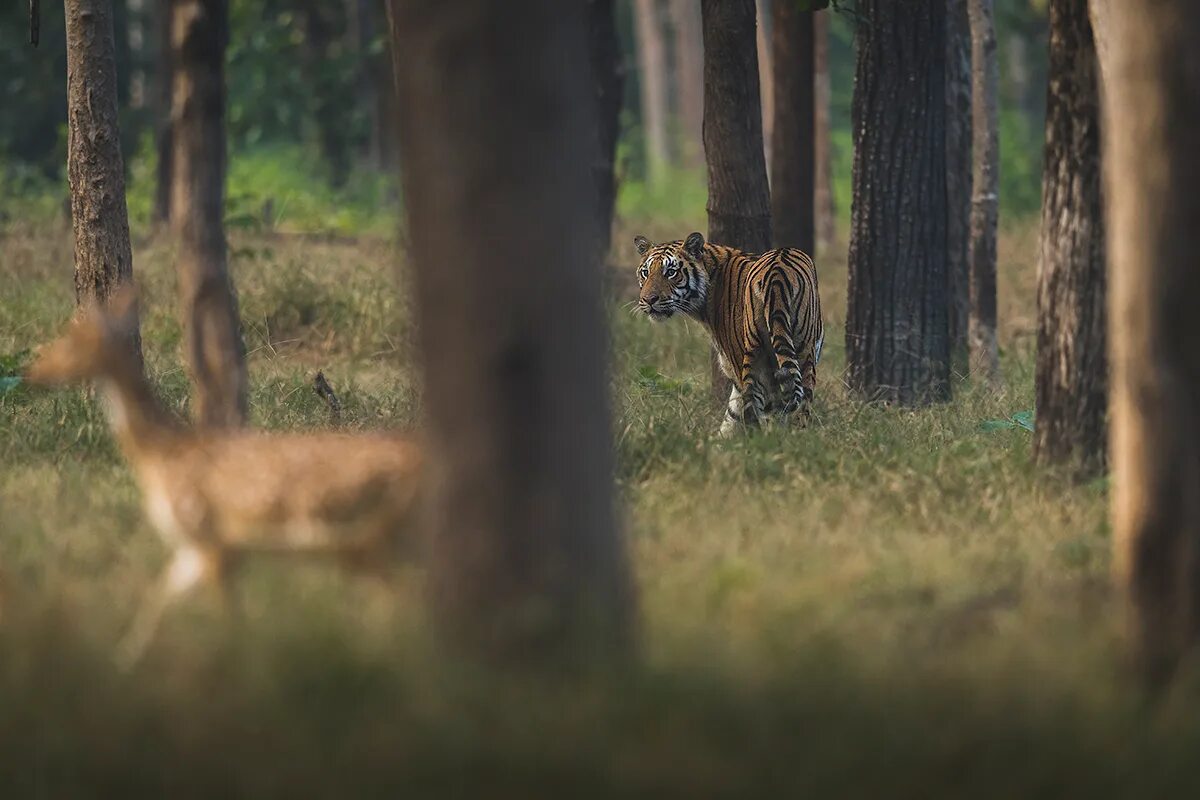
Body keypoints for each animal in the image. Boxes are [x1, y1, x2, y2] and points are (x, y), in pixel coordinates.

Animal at [25, 291, 424, 666]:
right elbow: (159, 599)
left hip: (373, 540)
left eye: (73, 339)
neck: (164, 455)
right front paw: (121, 661)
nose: (35, 370)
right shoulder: (196, 549)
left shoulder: (213, 540)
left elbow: (229, 621)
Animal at [633, 231, 820, 438]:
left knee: (770, 412)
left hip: (753, 360)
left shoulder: (736, 367)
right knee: (801, 405)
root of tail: (777, 272)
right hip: (804, 350)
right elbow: (732, 415)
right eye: (645, 272)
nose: (648, 300)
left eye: (671, 272)